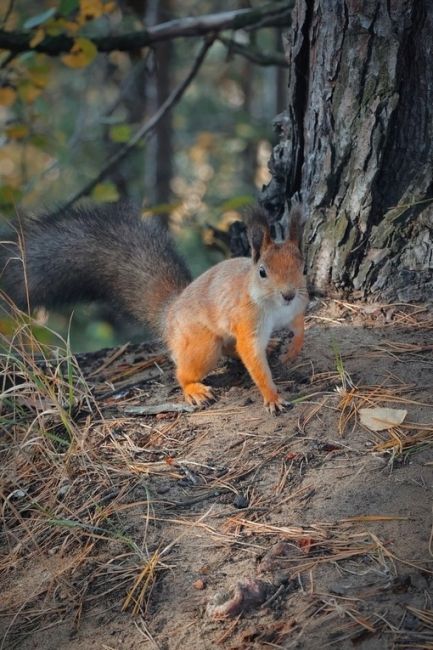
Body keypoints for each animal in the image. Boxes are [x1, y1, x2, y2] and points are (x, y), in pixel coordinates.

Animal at [2, 201, 308, 410]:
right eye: (262, 272)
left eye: (302, 266)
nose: (288, 294)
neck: (275, 308)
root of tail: (170, 312)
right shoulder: (248, 320)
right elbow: (252, 355)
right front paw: (272, 396)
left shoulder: (296, 310)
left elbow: (299, 327)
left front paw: (294, 348)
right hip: (202, 345)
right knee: (187, 369)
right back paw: (193, 389)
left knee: (230, 348)